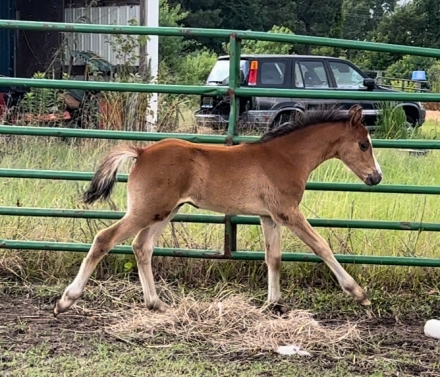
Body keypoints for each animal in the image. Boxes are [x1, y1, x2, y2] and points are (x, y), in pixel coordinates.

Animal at [54, 103, 382, 314]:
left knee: (141, 247)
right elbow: (321, 247)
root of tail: (142, 151)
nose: (376, 177)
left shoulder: (269, 217)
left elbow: (273, 258)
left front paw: (273, 304)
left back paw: (156, 303)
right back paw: (66, 300)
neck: (286, 157)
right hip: (146, 211)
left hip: (164, 212)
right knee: (104, 239)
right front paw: (359, 293)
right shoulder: (288, 212)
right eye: (364, 145)